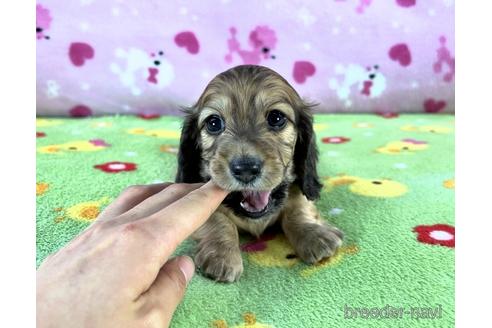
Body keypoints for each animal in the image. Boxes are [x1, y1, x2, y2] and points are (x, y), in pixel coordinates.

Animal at [176, 64, 342, 282]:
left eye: (276, 118)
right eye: (213, 123)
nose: (245, 169)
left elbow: (298, 208)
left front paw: (315, 236)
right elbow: (218, 220)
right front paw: (222, 256)